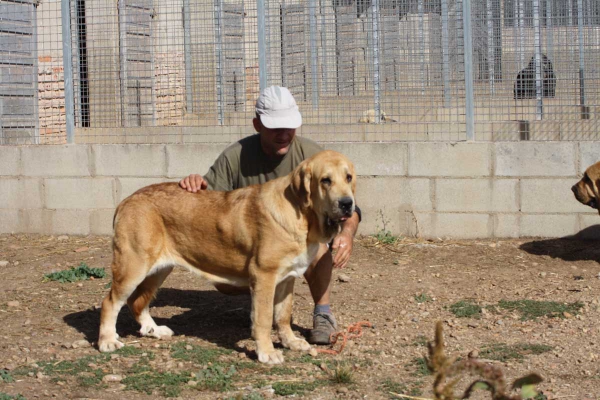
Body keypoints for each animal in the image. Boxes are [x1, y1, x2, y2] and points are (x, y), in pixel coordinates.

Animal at [98, 149, 356, 362]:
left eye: (349, 178)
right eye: (325, 180)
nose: (347, 204)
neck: (303, 216)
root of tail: (127, 200)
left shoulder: (287, 278)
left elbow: (283, 315)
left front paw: (290, 342)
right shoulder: (264, 276)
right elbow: (263, 319)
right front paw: (267, 352)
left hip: (159, 270)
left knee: (137, 301)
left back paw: (154, 330)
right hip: (133, 266)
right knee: (111, 302)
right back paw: (107, 341)